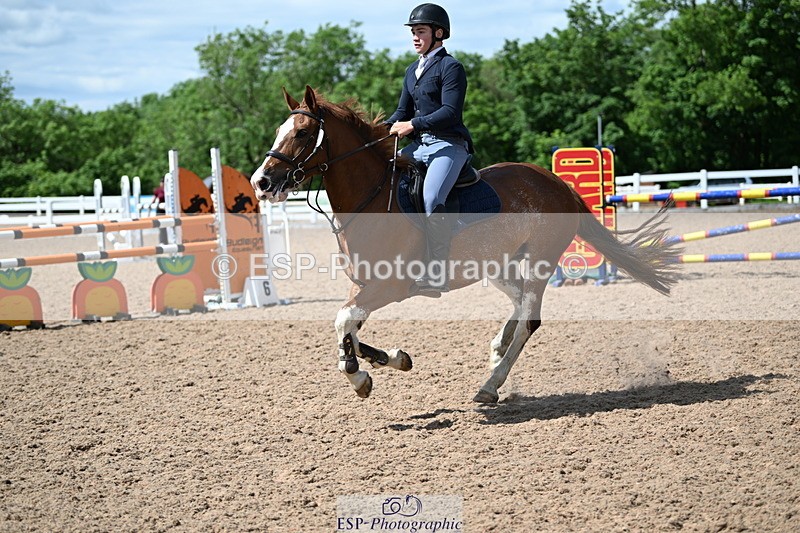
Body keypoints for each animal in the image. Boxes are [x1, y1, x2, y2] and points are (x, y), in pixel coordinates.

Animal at [250, 85, 680, 403]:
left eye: (302, 133)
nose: (261, 182)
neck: (371, 198)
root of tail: (556, 182)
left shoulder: (390, 285)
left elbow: (343, 323)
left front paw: (360, 377)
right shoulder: (365, 285)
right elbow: (349, 327)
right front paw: (392, 360)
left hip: (539, 260)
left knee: (530, 318)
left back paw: (490, 385)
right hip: (498, 265)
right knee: (519, 303)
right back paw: (497, 349)